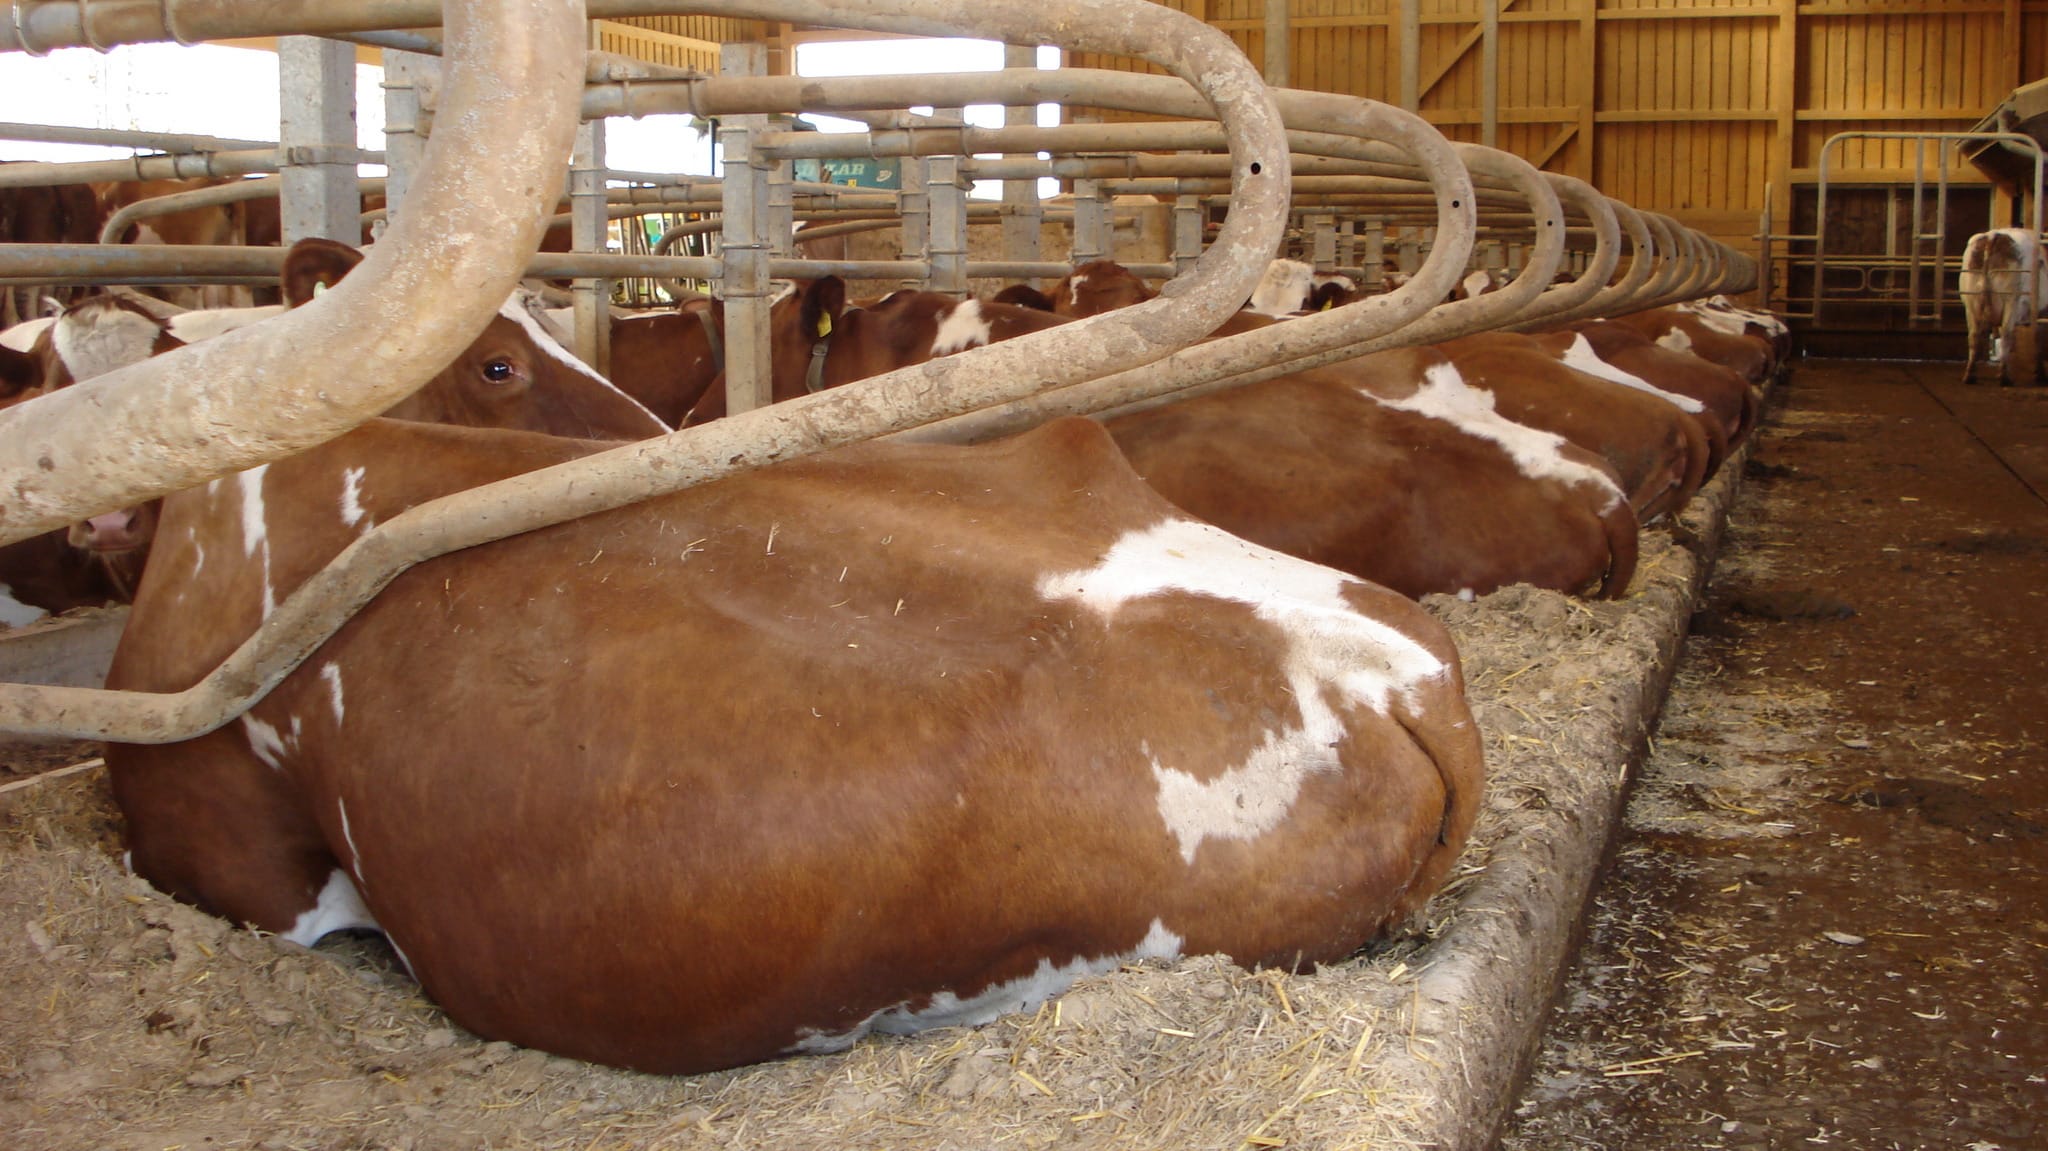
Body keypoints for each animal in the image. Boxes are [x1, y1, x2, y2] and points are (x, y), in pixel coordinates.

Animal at [1949, 227, 2048, 385]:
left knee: (1974, 336)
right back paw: (2004, 377)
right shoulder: (2041, 313)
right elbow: (2038, 339)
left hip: (1970, 302)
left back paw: (1970, 375)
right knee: (2007, 334)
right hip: (2011, 299)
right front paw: (2039, 374)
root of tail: (1992, 236)